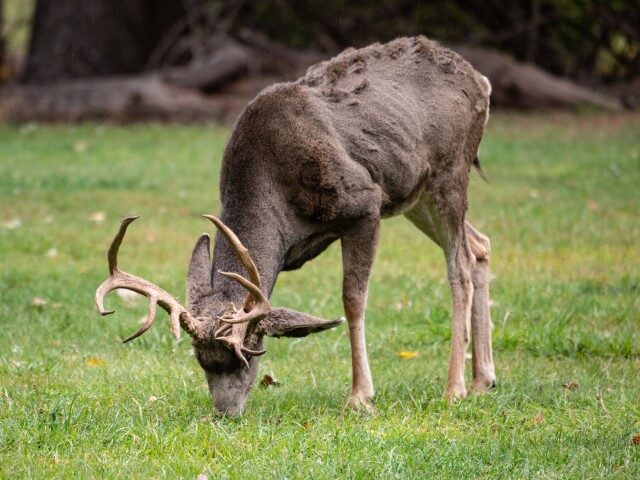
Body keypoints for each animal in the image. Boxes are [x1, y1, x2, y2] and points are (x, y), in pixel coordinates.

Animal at [94, 35, 496, 414]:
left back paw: (454, 389)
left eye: (249, 352)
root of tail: (482, 81)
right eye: (201, 361)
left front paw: (360, 396)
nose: (226, 412)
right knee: (480, 245)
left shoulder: (365, 203)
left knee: (459, 264)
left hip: (449, 171)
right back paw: (484, 380)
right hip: (415, 194)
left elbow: (353, 299)